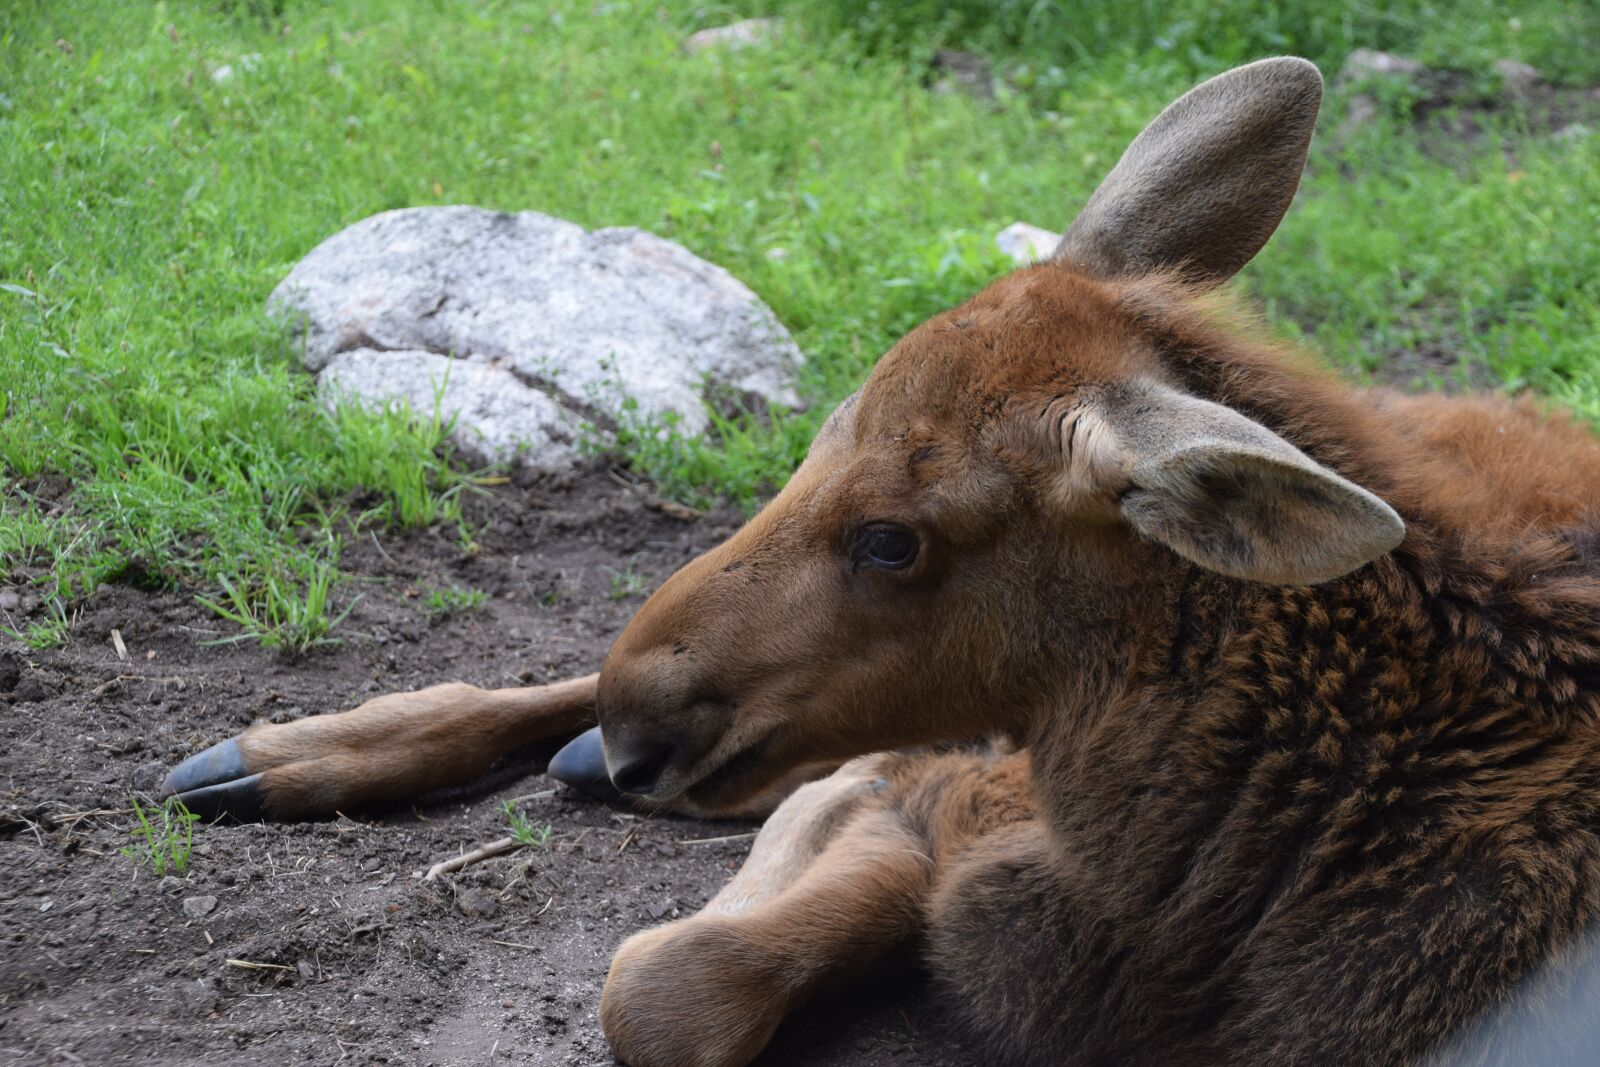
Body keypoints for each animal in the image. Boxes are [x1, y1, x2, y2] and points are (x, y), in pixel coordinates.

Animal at [163, 57, 1600, 1065]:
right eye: (820, 435)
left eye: (892, 536)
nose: (641, 721)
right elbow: (677, 972)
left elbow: (676, 979)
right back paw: (288, 748)